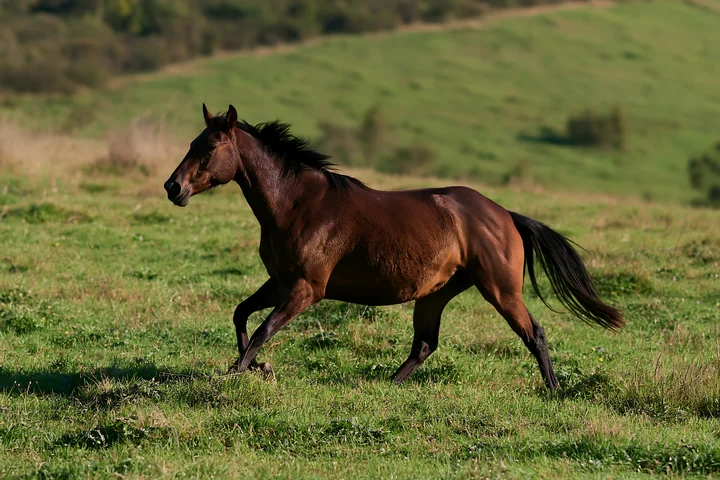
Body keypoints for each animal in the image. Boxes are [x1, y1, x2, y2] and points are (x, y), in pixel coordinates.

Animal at [164, 104, 624, 390]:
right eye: (190, 144)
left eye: (209, 147)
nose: (173, 187)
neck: (298, 204)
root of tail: (506, 215)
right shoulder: (279, 281)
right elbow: (242, 314)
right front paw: (254, 366)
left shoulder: (306, 289)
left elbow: (263, 328)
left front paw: (235, 373)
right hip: (436, 294)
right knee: (424, 345)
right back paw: (386, 385)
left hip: (500, 289)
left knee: (534, 333)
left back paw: (554, 390)